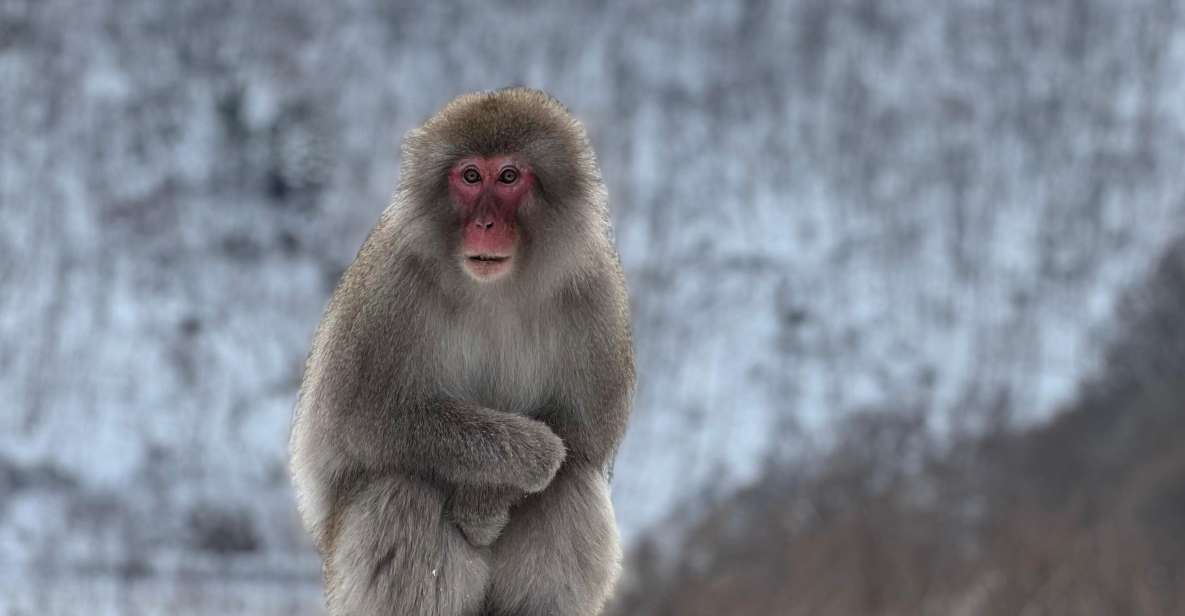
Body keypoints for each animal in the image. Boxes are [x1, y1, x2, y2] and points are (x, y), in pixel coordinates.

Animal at [290, 87, 635, 616]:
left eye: (509, 176)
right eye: (470, 176)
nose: (485, 223)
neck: (493, 287)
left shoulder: (596, 292)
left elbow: (585, 436)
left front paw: (485, 505)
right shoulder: (389, 287)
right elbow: (361, 418)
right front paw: (523, 461)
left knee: (570, 486)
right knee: (403, 488)